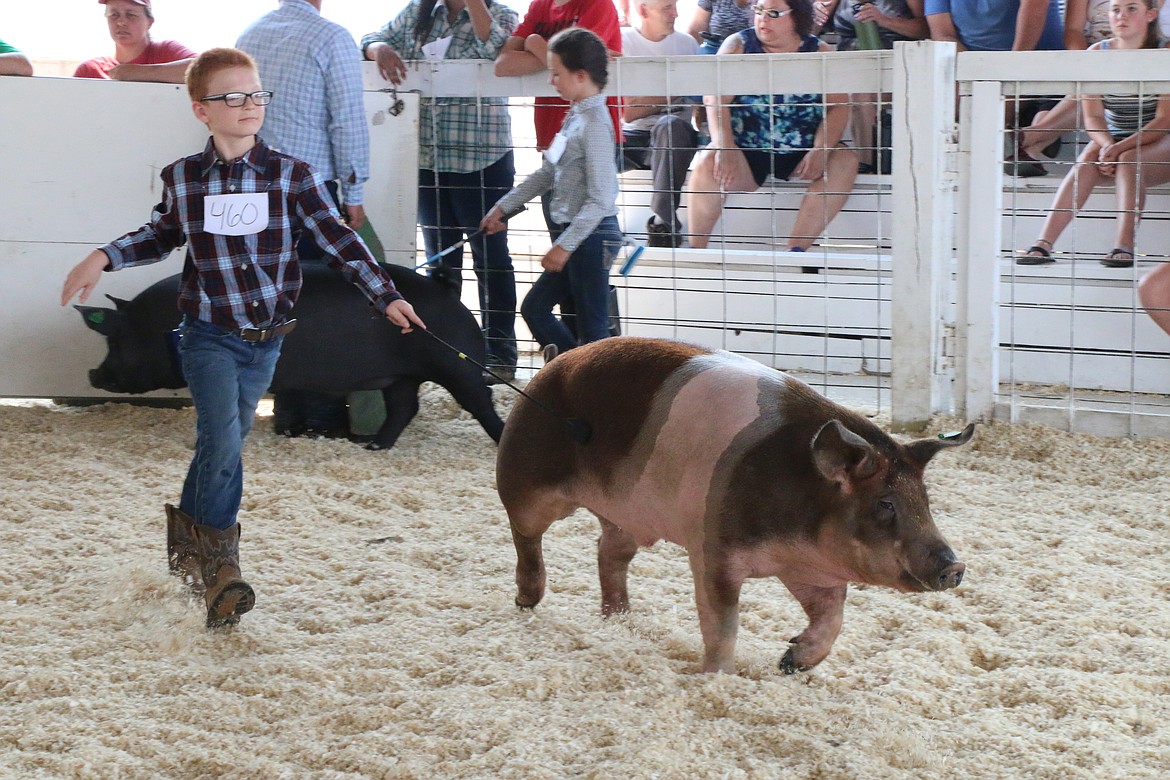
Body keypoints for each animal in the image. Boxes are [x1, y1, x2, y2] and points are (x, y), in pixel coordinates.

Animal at [498, 339, 973, 673]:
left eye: (925, 500)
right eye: (886, 504)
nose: (955, 566)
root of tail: (549, 362)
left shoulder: (810, 571)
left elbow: (833, 618)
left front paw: (790, 663)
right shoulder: (713, 550)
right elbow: (722, 623)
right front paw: (716, 678)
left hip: (625, 515)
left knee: (609, 552)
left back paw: (620, 619)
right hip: (527, 482)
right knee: (525, 534)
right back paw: (526, 600)